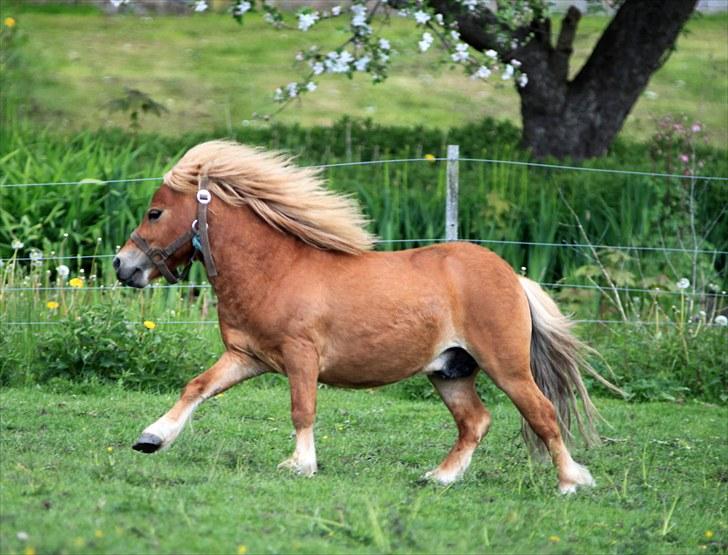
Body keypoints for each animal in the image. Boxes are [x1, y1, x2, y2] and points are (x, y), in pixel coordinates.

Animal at [115, 140, 616, 496]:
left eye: (155, 212)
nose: (123, 265)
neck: (276, 269)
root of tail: (513, 277)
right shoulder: (246, 357)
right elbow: (197, 387)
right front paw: (151, 438)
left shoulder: (301, 357)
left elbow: (302, 409)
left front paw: (300, 464)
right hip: (450, 372)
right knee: (475, 421)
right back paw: (440, 477)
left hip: (507, 366)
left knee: (543, 414)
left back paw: (571, 482)